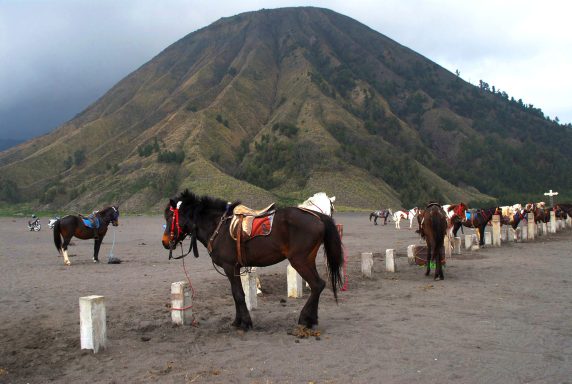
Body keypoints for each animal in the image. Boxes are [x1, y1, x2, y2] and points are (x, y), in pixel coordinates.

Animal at [160, 190, 344, 332]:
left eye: (169, 217)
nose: (165, 242)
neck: (218, 227)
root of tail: (318, 217)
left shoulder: (230, 267)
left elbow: (238, 294)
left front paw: (245, 323)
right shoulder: (234, 268)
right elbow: (236, 294)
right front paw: (238, 321)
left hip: (300, 261)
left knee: (317, 285)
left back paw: (305, 319)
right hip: (307, 259)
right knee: (318, 285)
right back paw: (311, 319)